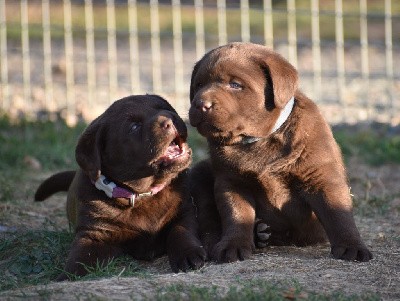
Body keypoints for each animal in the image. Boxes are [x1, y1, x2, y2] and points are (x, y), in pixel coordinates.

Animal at [34, 94, 205, 278]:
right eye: (134, 126)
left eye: (163, 108)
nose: (170, 120)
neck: (142, 194)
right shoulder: (95, 233)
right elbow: (80, 258)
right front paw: (67, 277)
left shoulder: (184, 211)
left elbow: (181, 230)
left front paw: (188, 254)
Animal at [184, 41, 372, 264]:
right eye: (198, 86)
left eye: (235, 85)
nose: (200, 104)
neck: (259, 140)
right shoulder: (231, 182)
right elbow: (236, 215)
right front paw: (233, 246)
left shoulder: (321, 177)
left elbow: (338, 213)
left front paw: (353, 246)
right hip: (200, 172)